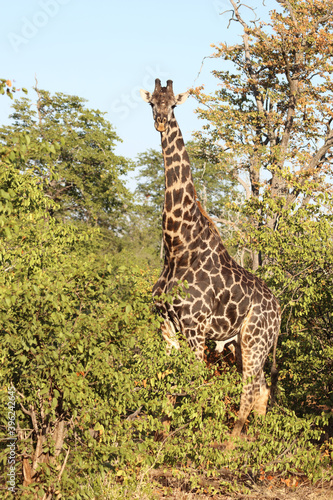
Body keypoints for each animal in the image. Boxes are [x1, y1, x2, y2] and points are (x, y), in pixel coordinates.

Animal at [140, 79, 280, 438]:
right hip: (243, 345)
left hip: (255, 340)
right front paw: (162, 437)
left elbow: (195, 383)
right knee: (261, 388)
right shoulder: (166, 325)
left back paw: (231, 443)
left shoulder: (194, 327)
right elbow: (169, 382)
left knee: (250, 389)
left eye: (174, 104)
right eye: (152, 103)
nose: (160, 122)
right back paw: (253, 440)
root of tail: (279, 312)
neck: (178, 247)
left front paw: (192, 437)